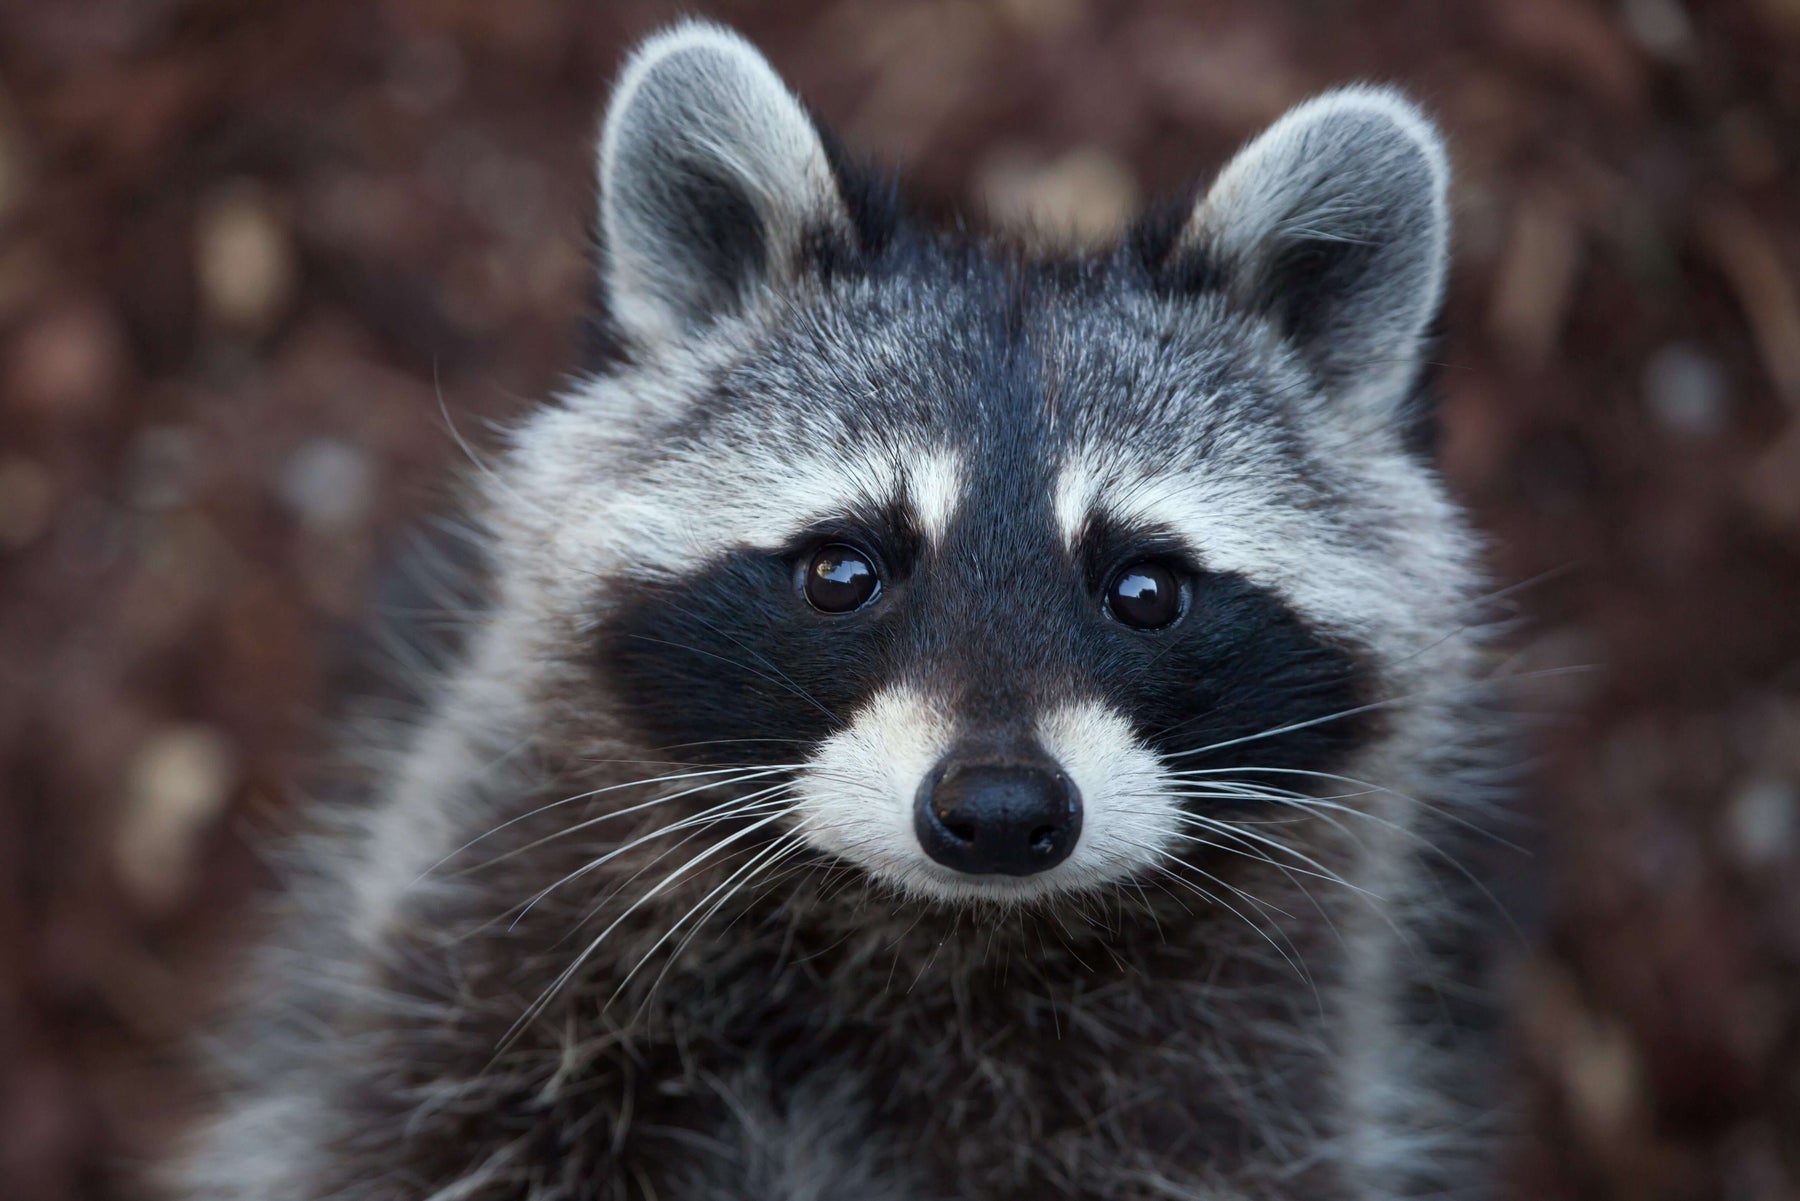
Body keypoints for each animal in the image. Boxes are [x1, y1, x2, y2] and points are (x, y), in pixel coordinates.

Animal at [179, 21, 1504, 1201]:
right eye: (843, 574)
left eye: (1145, 591)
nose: (1002, 812)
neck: (917, 930)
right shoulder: (485, 950)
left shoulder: (1232, 1073)